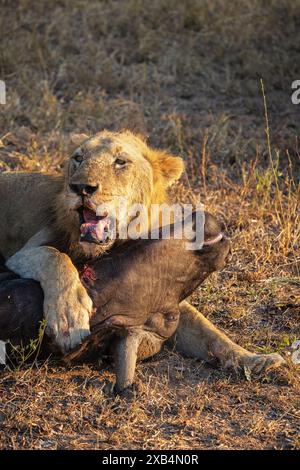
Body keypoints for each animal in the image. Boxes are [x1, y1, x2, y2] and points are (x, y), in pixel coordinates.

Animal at [0, 130, 284, 376]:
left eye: (120, 162)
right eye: (78, 158)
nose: (80, 187)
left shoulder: (170, 295)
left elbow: (209, 332)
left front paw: (254, 359)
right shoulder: (25, 253)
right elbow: (55, 256)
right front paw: (69, 316)